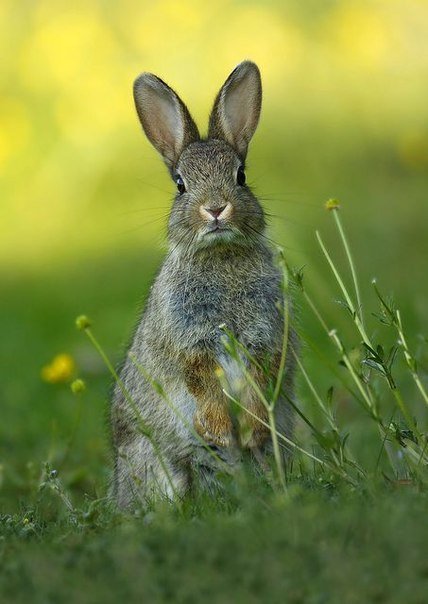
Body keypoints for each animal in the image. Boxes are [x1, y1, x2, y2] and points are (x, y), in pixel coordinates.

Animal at [111, 61, 298, 508]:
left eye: (241, 176)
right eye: (180, 184)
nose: (215, 209)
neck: (220, 256)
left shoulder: (265, 338)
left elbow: (259, 384)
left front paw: (252, 429)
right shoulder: (191, 342)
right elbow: (203, 384)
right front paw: (221, 432)